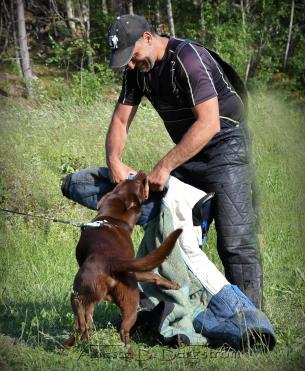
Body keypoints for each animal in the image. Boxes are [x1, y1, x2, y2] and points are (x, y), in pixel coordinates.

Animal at [64, 171, 182, 352]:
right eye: (138, 184)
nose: (140, 172)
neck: (112, 219)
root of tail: (111, 264)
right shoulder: (135, 269)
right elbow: (153, 275)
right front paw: (173, 285)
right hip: (124, 300)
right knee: (105, 327)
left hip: (86, 295)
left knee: (84, 324)